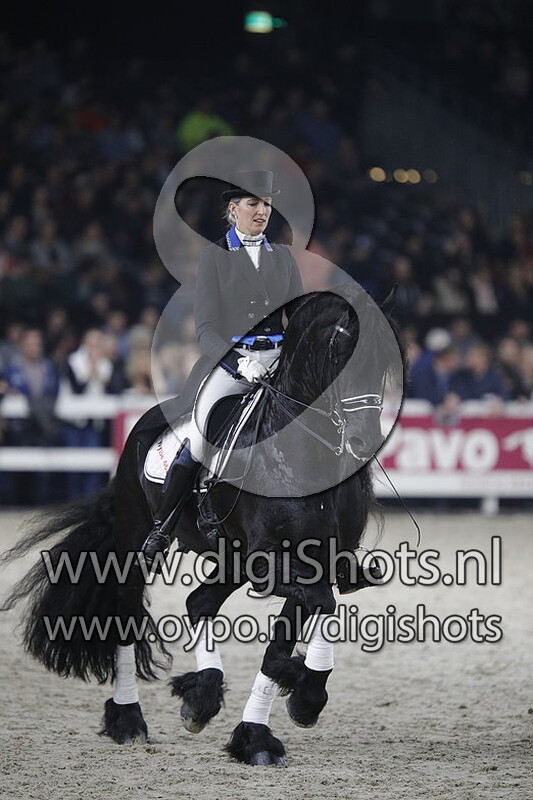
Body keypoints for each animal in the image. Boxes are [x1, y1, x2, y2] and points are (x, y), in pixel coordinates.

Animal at [1, 284, 404, 767]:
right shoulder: (268, 561)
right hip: (136, 544)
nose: (365, 442)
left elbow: (292, 631)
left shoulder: (316, 560)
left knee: (199, 602)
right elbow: (317, 606)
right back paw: (129, 720)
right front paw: (302, 693)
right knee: (127, 616)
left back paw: (203, 697)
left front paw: (264, 729)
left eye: (386, 363)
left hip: (228, 557)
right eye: (341, 354)